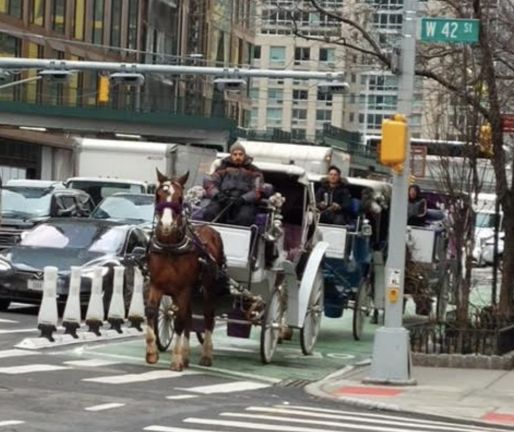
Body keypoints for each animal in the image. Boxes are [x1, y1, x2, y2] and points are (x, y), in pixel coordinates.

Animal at [144, 169, 224, 372]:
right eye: (158, 195)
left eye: (180, 198)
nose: (166, 226)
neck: (170, 248)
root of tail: (211, 229)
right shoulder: (157, 284)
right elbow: (151, 312)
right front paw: (151, 353)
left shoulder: (184, 289)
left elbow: (179, 321)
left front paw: (175, 360)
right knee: (189, 317)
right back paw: (186, 356)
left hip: (208, 288)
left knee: (208, 316)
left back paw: (206, 355)